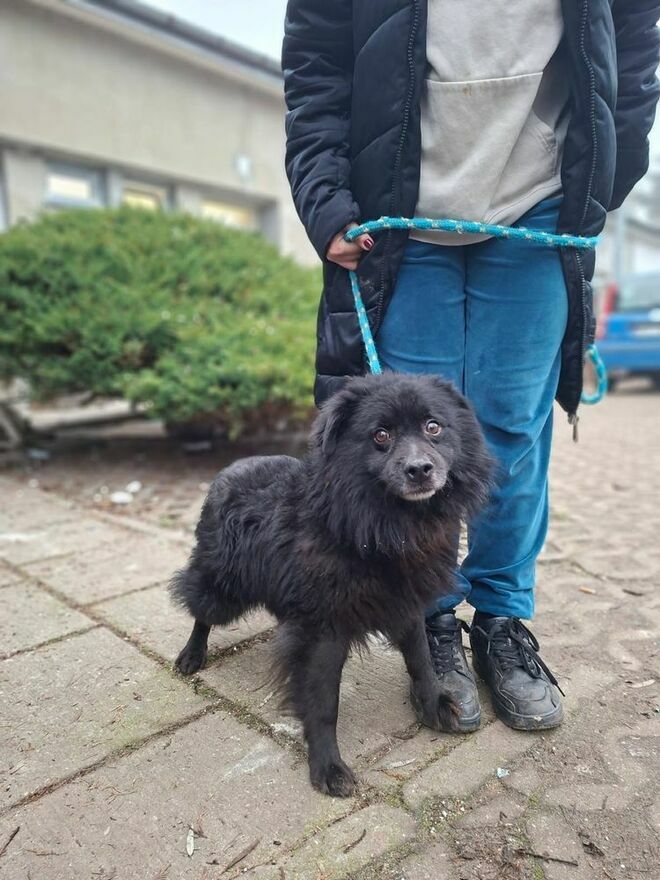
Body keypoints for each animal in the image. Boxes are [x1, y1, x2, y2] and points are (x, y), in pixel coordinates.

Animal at [171, 372, 493, 797]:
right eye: (381, 435)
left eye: (433, 427)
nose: (420, 469)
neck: (377, 525)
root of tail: (232, 467)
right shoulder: (324, 628)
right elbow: (324, 702)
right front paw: (327, 765)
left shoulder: (406, 605)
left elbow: (421, 660)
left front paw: (435, 704)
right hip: (223, 587)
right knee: (200, 609)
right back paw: (192, 654)